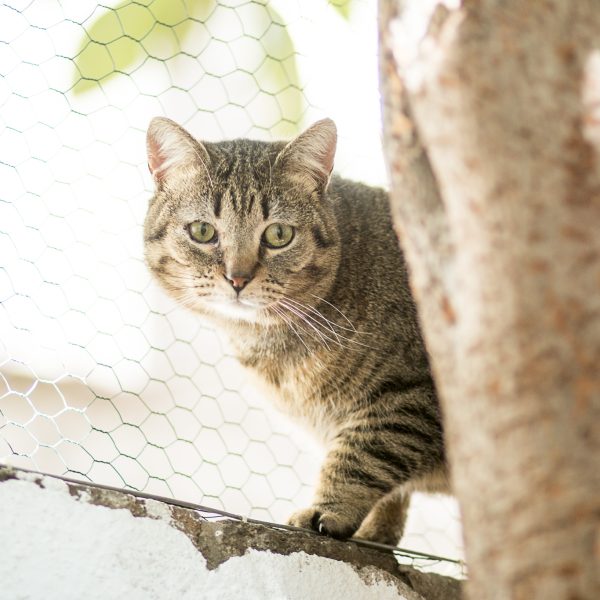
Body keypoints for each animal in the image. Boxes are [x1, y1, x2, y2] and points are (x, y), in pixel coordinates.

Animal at [143, 116, 448, 544]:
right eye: (202, 231)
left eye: (278, 235)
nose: (237, 278)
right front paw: (377, 532)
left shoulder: (411, 398)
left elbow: (363, 455)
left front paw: (329, 511)